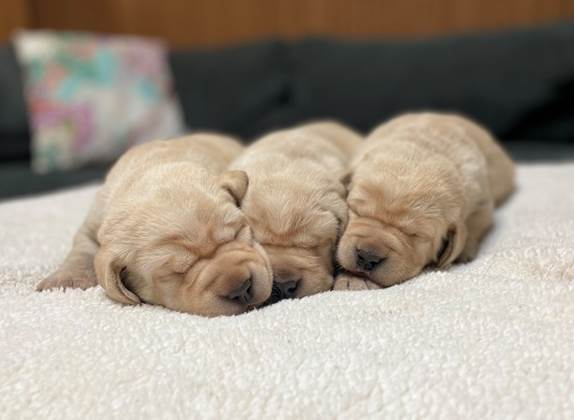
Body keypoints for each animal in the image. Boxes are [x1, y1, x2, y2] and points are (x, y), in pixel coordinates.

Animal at [37, 136, 276, 316]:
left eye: (238, 233)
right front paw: (65, 279)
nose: (241, 288)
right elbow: (83, 248)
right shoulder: (94, 221)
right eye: (175, 273)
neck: (151, 169)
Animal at [336, 112, 516, 288]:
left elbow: (475, 224)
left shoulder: (482, 201)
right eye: (356, 210)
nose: (368, 256)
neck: (422, 148)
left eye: (416, 234)